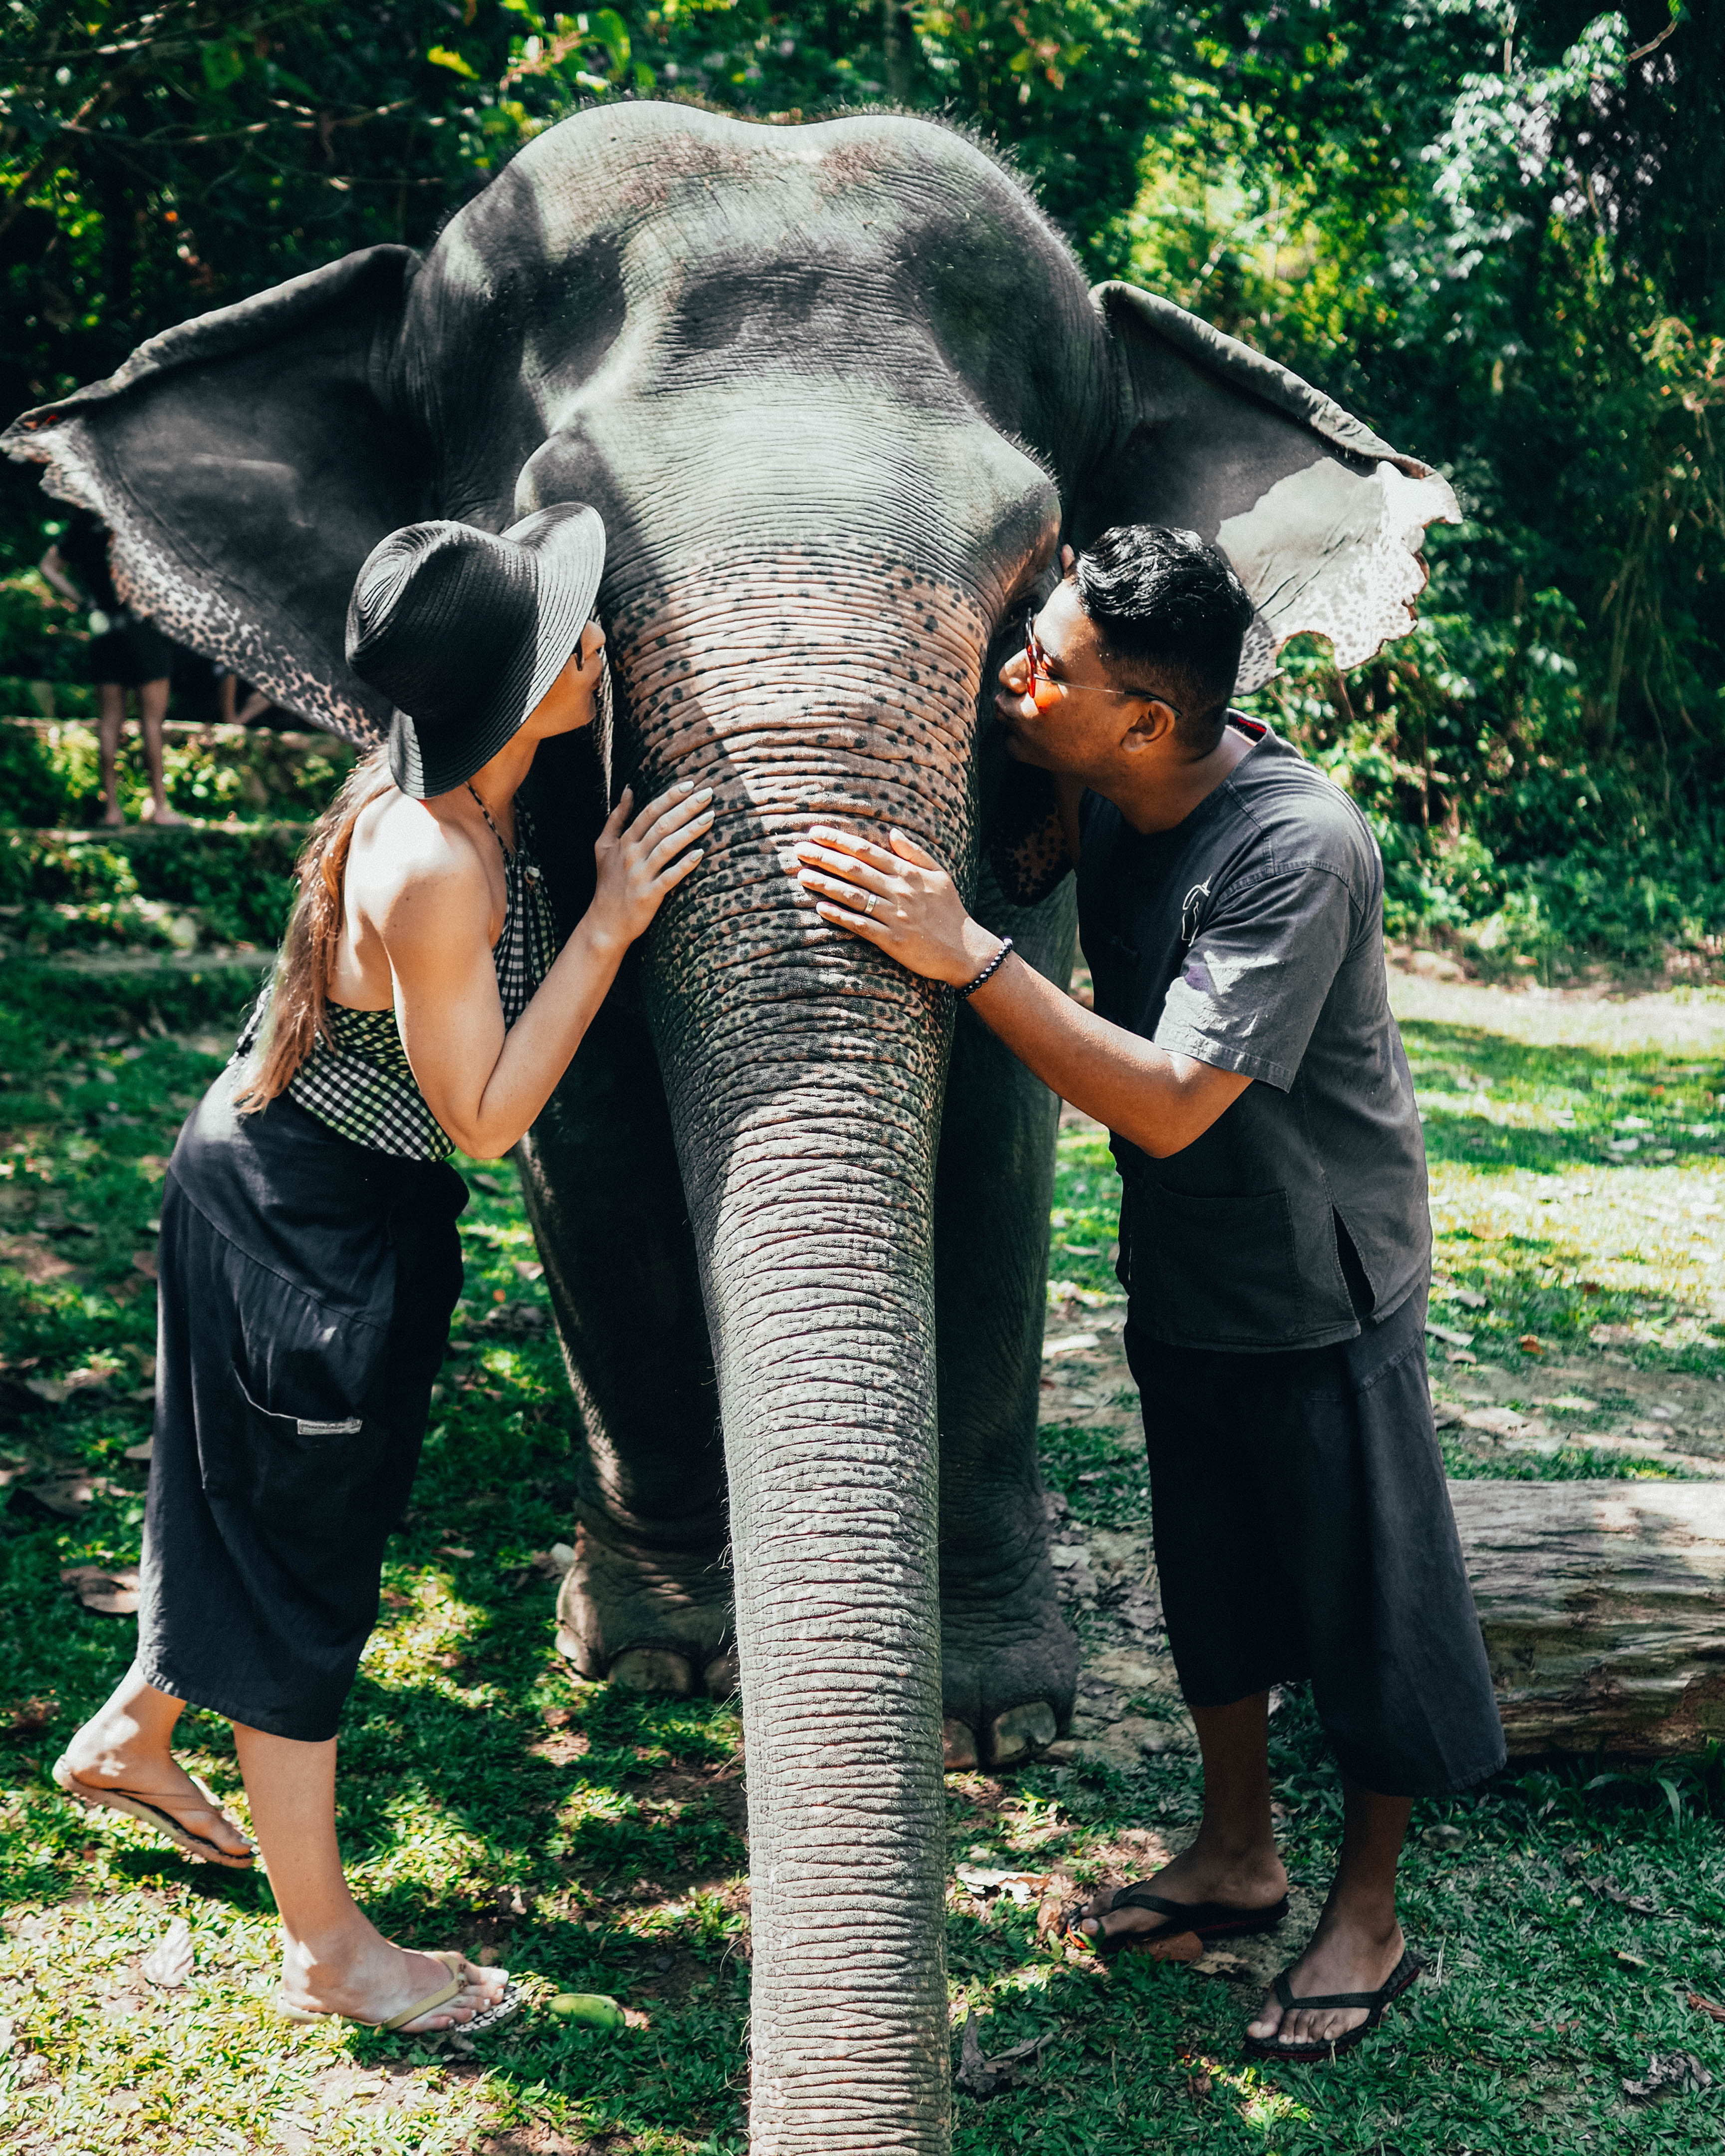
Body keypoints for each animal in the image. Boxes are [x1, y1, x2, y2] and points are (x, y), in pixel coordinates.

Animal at [6, 101, 1449, 2156]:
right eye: (563, 535)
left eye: (1035, 568)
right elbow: (585, 1144)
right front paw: (662, 1660)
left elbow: (1004, 1144)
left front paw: (1003, 1718)